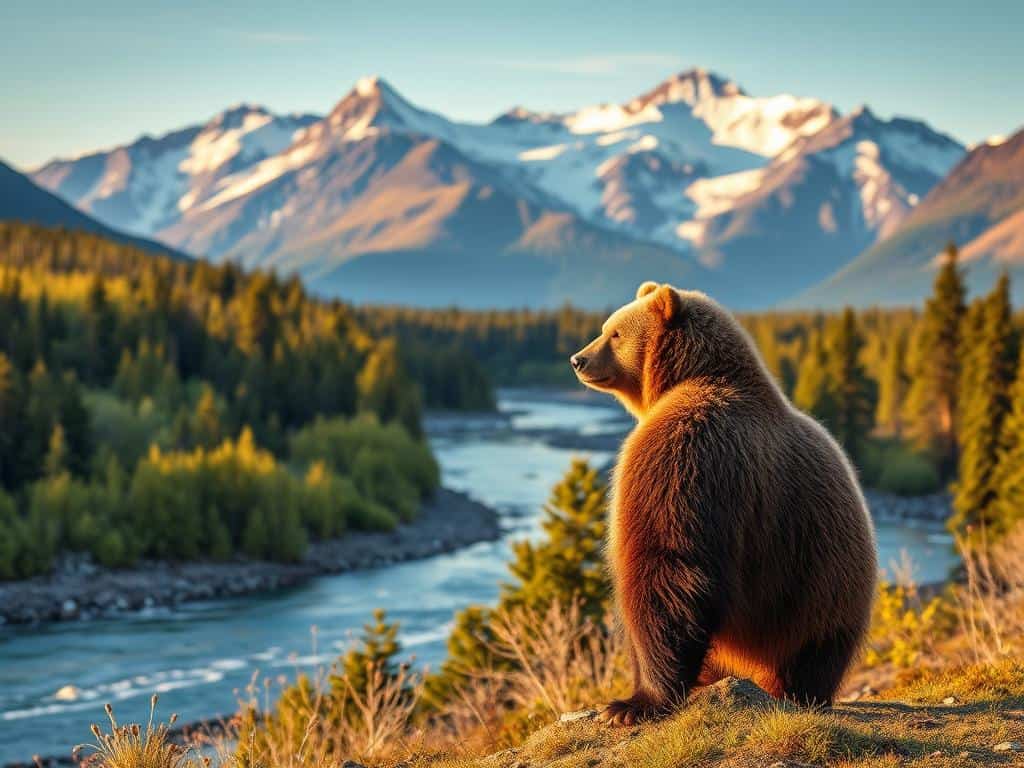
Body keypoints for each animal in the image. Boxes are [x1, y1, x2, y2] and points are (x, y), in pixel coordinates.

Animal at [570, 281, 877, 726]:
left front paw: (632, 703)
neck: (686, 374)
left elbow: (666, 565)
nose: (578, 359)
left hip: (802, 606)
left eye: (615, 333)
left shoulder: (687, 449)